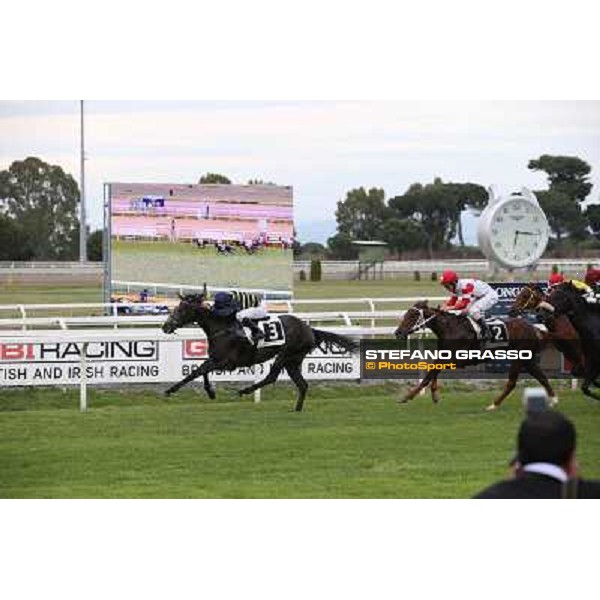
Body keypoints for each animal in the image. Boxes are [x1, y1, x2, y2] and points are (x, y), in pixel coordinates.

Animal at [161, 292, 356, 412]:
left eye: (181, 309)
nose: (165, 327)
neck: (223, 327)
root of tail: (309, 329)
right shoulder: (215, 359)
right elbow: (201, 371)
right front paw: (210, 392)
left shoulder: (226, 362)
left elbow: (197, 371)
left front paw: (171, 390)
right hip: (293, 361)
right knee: (302, 384)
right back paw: (297, 409)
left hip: (285, 354)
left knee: (272, 377)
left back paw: (244, 391)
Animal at [394, 300, 556, 412]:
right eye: (406, 314)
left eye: (413, 315)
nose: (398, 333)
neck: (450, 328)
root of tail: (532, 328)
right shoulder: (444, 355)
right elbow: (433, 370)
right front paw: (434, 395)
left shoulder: (458, 359)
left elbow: (430, 373)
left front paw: (408, 396)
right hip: (527, 359)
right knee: (541, 376)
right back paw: (553, 400)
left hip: (519, 357)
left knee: (512, 382)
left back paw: (493, 405)